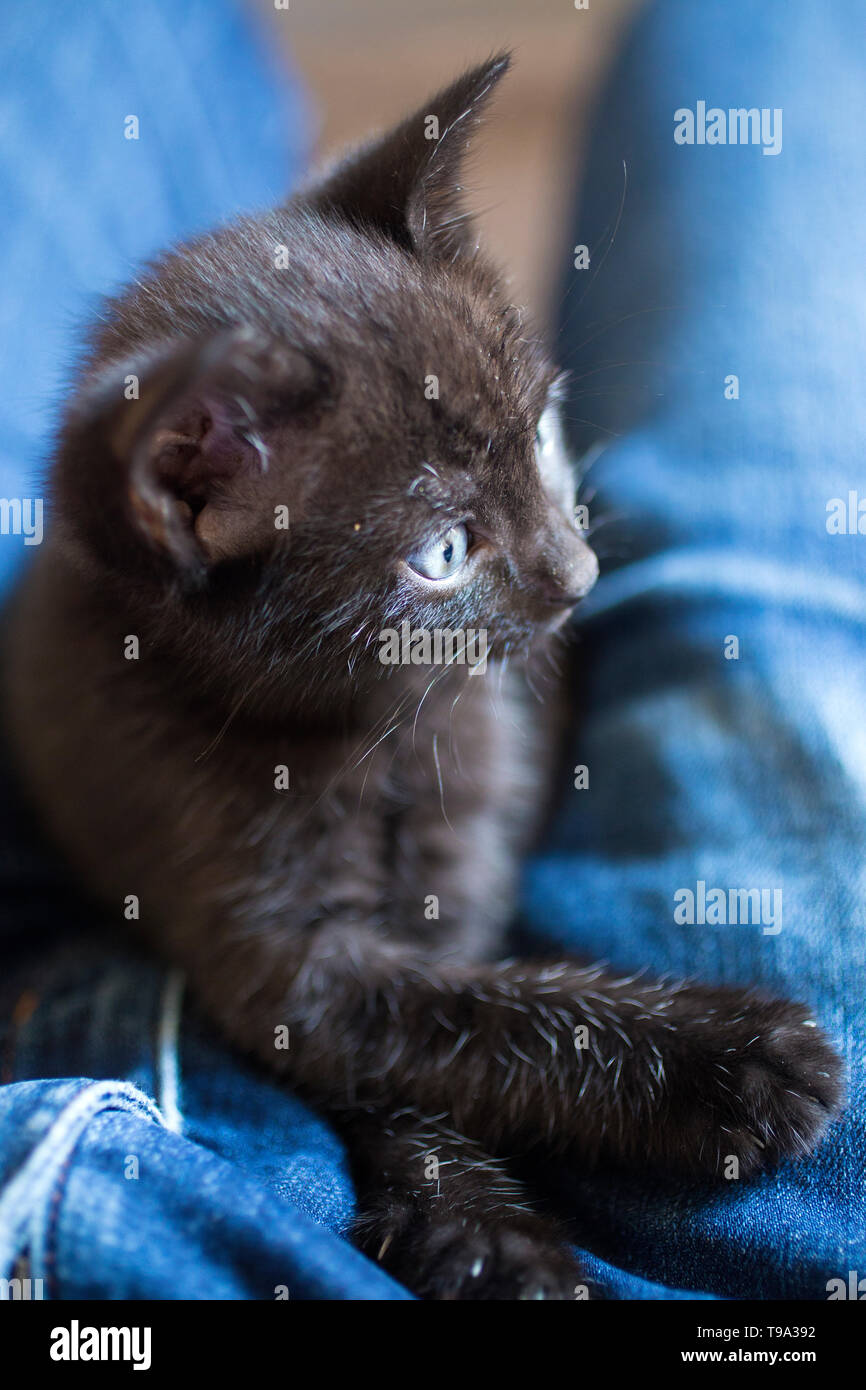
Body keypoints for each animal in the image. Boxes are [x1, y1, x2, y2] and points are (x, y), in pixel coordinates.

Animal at [0, 51, 839, 1289]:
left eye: (538, 431)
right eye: (442, 551)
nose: (580, 573)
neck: (360, 730)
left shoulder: (473, 827)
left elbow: (467, 996)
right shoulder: (260, 934)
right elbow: (441, 1025)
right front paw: (720, 1072)